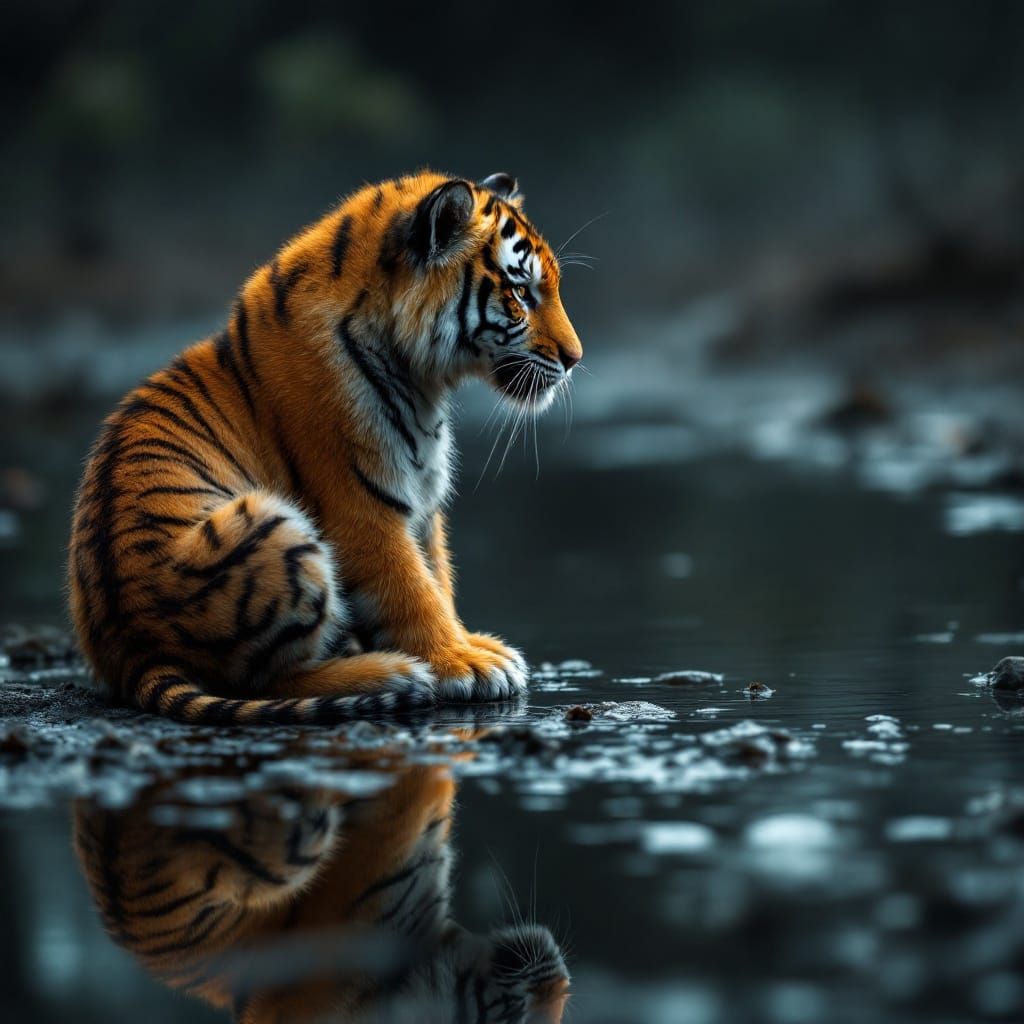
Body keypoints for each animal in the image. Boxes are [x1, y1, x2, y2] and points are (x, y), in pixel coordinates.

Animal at [68, 171, 583, 724]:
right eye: (521, 291)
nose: (575, 358)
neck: (423, 380)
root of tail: (133, 652)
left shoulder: (422, 502)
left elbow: (437, 577)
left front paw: (471, 645)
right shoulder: (361, 505)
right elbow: (411, 590)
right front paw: (463, 663)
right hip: (267, 526)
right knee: (268, 680)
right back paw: (391, 672)